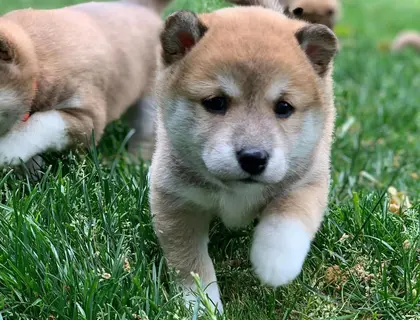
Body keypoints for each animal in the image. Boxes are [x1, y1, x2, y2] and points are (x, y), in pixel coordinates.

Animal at [0, 0, 169, 169]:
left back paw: (135, 162)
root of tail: (142, 6)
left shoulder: (89, 118)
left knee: (145, 135)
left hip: (149, 102)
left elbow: (41, 123)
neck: (38, 59)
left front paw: (6, 149)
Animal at [150, 0, 338, 312]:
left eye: (284, 107)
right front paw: (201, 306)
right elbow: (190, 263)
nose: (253, 157)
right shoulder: (177, 201)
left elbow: (288, 219)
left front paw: (275, 263)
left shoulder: (307, 179)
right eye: (216, 102)